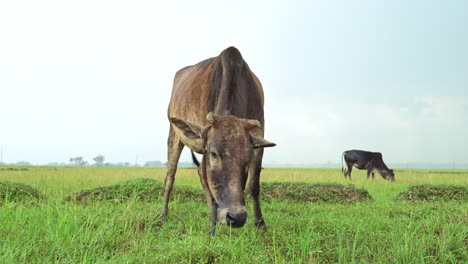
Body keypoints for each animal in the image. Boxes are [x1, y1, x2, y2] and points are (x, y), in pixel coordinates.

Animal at [159, 47, 276, 233]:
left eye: (248, 157)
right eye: (214, 154)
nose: (236, 217)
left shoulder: (259, 136)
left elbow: (254, 185)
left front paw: (260, 224)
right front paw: (213, 228)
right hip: (174, 135)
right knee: (171, 176)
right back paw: (163, 215)